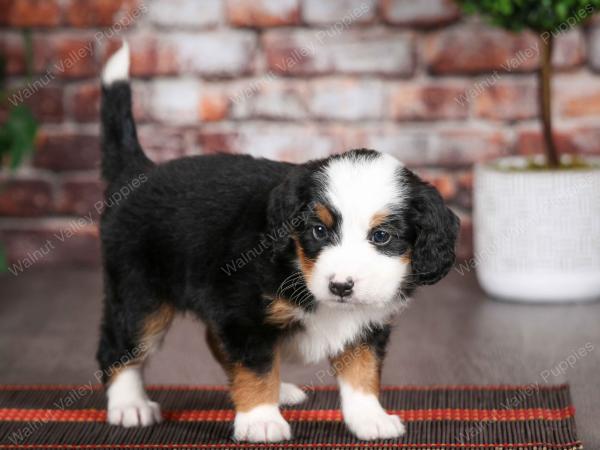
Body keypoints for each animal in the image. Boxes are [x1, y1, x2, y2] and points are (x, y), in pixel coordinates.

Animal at [97, 44, 460, 442]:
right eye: (318, 231)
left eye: (381, 236)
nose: (341, 287)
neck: (297, 266)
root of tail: (138, 174)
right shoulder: (243, 312)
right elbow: (255, 366)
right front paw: (260, 420)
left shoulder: (367, 323)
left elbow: (362, 372)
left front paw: (370, 418)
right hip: (139, 293)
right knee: (119, 347)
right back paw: (129, 405)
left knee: (214, 342)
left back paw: (280, 390)